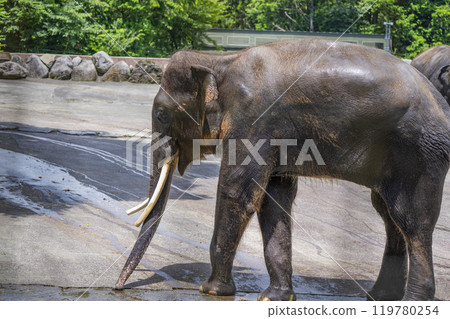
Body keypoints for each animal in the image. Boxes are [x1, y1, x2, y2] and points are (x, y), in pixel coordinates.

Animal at [112, 38, 450, 302]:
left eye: (160, 114)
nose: (118, 287)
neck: (219, 62)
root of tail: (439, 102)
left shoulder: (253, 119)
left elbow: (237, 192)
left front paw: (211, 291)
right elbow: (274, 198)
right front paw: (272, 297)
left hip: (419, 154)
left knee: (411, 221)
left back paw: (413, 300)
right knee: (388, 214)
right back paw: (379, 296)